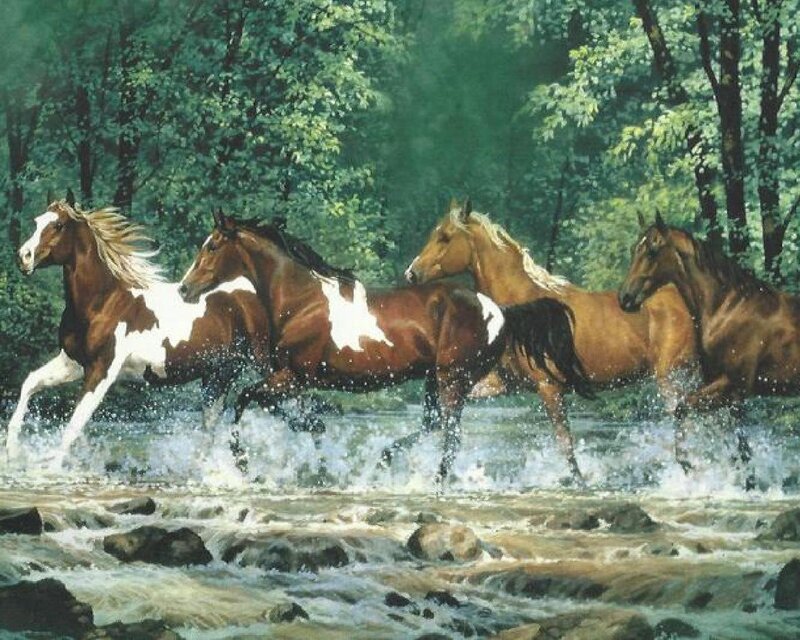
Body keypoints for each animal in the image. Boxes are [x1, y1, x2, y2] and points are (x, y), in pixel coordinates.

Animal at [7, 192, 272, 470]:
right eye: (37, 221)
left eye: (58, 225)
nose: (23, 257)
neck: (102, 303)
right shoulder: (72, 363)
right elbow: (30, 383)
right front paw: (12, 453)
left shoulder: (101, 371)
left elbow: (74, 425)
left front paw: (51, 468)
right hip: (219, 375)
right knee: (210, 427)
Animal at [178, 209, 592, 488]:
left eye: (212, 246)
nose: (184, 288)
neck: (302, 301)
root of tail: (499, 310)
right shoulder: (293, 381)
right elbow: (295, 416)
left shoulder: (293, 376)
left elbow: (243, 400)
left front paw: (243, 465)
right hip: (438, 381)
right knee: (434, 426)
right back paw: (384, 464)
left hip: (452, 380)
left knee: (451, 437)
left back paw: (433, 482)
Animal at [405, 199, 699, 478]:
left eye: (445, 237)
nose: (411, 273)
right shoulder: (503, 383)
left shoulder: (549, 388)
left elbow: (565, 445)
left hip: (671, 378)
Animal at [619, 211, 800, 466]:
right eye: (634, 249)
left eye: (652, 251)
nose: (625, 298)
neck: (728, 308)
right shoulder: (727, 394)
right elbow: (738, 446)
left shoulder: (732, 386)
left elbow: (682, 408)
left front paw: (686, 463)